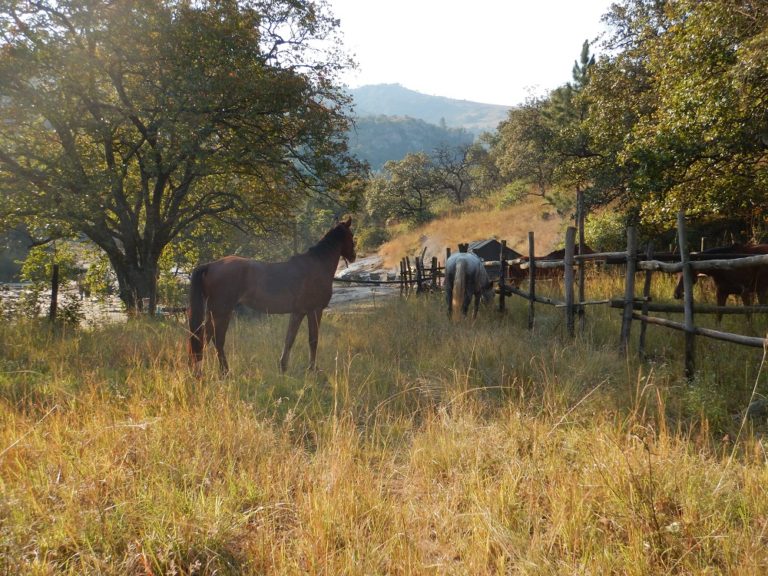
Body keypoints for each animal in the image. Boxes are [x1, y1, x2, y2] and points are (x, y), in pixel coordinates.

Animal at [188, 217, 356, 374]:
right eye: (351, 235)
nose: (353, 256)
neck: (317, 264)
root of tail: (210, 265)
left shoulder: (298, 312)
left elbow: (289, 339)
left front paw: (283, 366)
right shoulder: (314, 310)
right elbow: (313, 339)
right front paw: (312, 369)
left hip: (213, 312)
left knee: (203, 337)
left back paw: (199, 371)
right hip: (222, 312)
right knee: (216, 339)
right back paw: (223, 372)